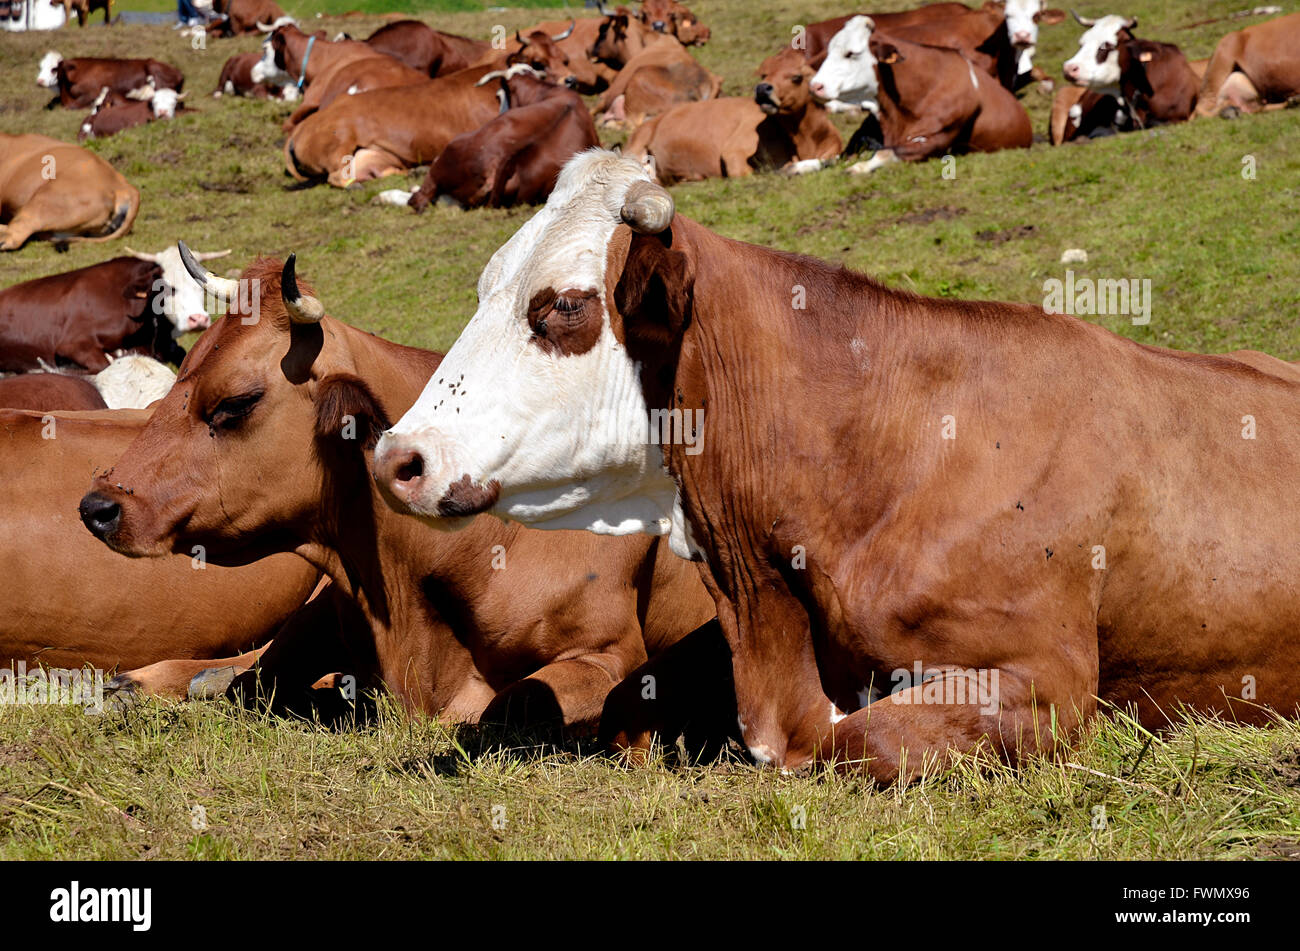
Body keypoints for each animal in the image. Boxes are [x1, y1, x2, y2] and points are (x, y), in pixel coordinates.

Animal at [371, 152, 1300, 784]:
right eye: (486, 287)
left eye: (563, 305)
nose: (397, 457)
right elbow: (625, 698)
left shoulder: (1050, 680)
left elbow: (858, 736)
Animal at [806, 15, 1029, 174]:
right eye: (829, 50)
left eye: (851, 53)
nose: (815, 86)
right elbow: (833, 158)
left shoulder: (935, 140)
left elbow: (886, 152)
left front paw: (858, 168)